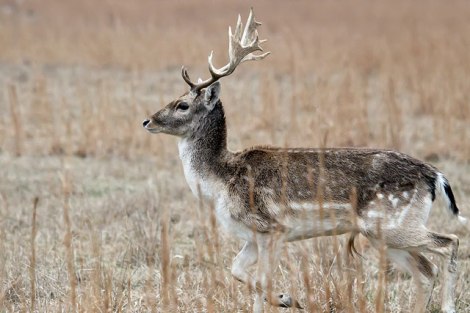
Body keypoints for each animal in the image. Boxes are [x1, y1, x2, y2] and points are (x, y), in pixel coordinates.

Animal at [143, 8, 466, 310]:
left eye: (183, 105)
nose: (147, 121)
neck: (221, 183)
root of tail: (435, 176)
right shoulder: (251, 236)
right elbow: (238, 272)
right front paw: (286, 298)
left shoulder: (271, 228)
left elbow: (261, 280)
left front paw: (287, 298)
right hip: (382, 234)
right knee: (426, 270)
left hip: (393, 224)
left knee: (449, 243)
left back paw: (449, 306)